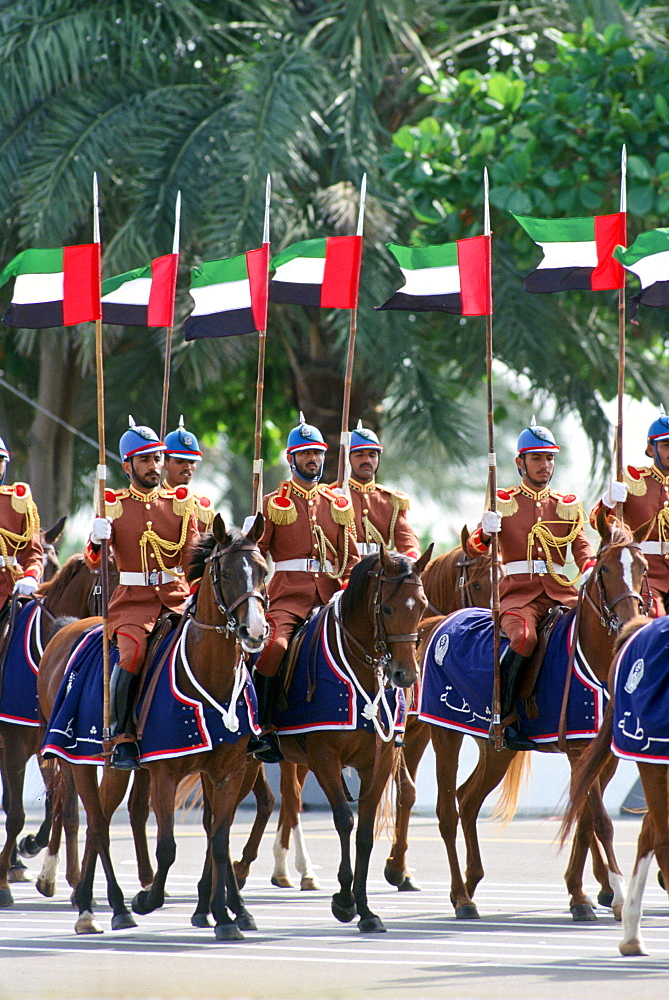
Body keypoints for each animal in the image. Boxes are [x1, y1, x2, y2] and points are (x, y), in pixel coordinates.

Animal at [0, 548, 118, 908]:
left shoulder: (57, 745)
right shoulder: (13, 743)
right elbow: (15, 814)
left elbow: (67, 810)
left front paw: (74, 881)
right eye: (111, 578)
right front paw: (5, 885)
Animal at [37, 516, 268, 936]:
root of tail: (67, 630)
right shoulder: (165, 773)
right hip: (80, 760)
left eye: (262, 571)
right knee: (97, 822)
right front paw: (148, 898)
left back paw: (89, 902)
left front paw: (227, 916)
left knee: (102, 819)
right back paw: (109, 907)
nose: (255, 631)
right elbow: (168, 846)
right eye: (226, 573)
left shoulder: (228, 771)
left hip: (115, 768)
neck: (210, 672)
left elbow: (219, 839)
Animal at [418, 516, 648, 920]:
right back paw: (461, 896)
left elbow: (583, 821)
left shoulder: (602, 757)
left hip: (497, 749)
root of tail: (443, 621)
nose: (630, 621)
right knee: (447, 810)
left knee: (468, 799)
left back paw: (472, 882)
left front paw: (581, 894)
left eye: (643, 569)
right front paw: (616, 895)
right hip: (445, 735)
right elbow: (599, 821)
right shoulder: (578, 751)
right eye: (604, 569)